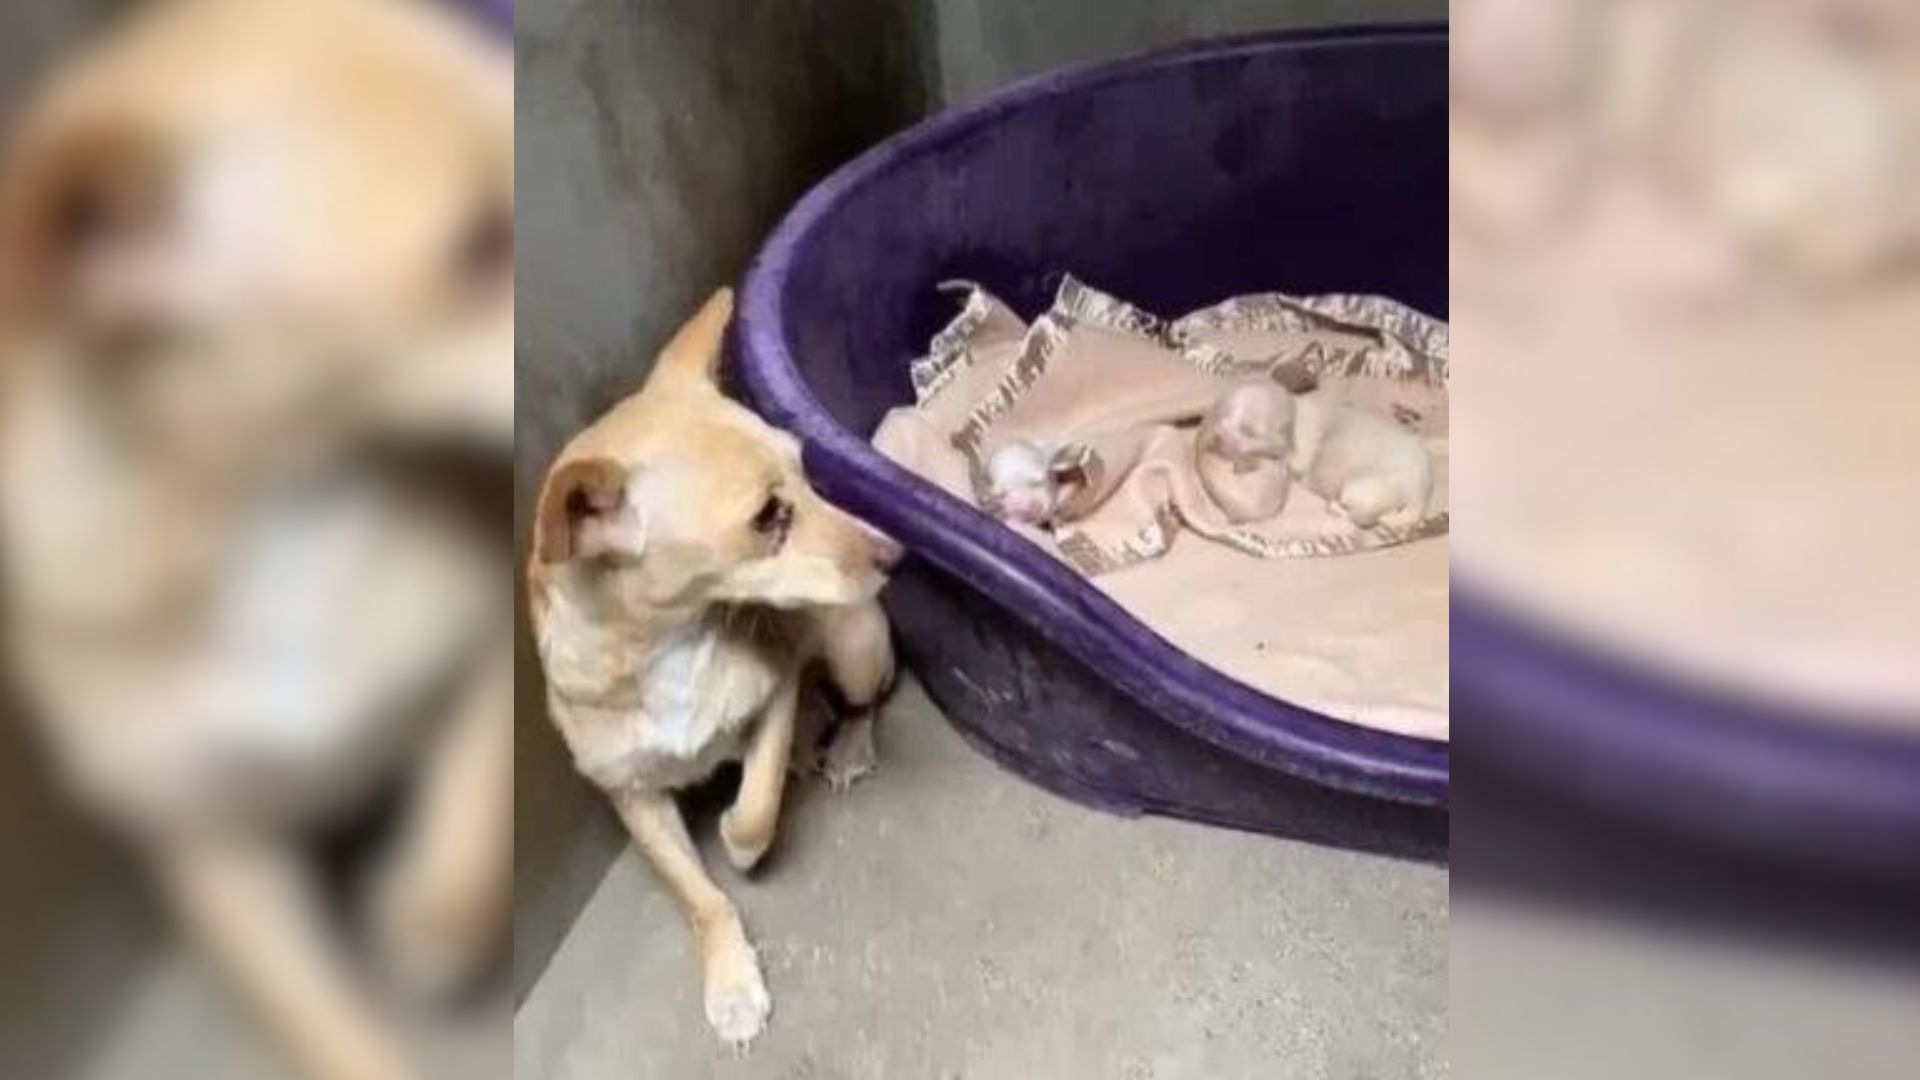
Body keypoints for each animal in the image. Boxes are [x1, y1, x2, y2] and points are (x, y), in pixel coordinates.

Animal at [0, 2, 514, 1076]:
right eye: (479, 244)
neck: (278, 514)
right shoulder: (211, 856)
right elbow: (328, 1034)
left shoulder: (489, 637)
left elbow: (473, 790)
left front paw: (428, 916)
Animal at [526, 286, 898, 1045]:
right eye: (766, 518)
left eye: (808, 472)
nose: (896, 554)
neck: (672, 644)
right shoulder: (631, 798)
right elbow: (700, 898)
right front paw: (731, 983)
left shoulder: (779, 691)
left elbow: (757, 804)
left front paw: (740, 841)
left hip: (855, 645)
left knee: (860, 702)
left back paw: (844, 746)